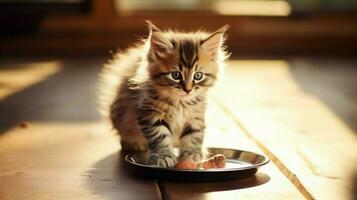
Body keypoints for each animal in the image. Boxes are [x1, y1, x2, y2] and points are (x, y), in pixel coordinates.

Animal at [97, 21, 228, 167]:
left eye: (198, 75)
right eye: (176, 75)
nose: (187, 90)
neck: (180, 103)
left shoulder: (195, 115)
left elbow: (194, 135)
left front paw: (192, 154)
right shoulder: (151, 114)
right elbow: (160, 136)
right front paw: (164, 156)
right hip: (121, 114)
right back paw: (133, 143)